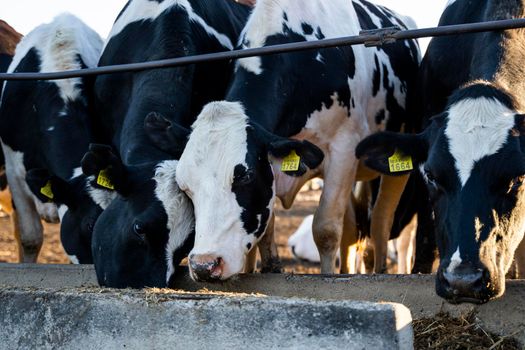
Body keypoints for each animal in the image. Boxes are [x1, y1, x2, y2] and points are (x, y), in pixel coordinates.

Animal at [151, 0, 418, 280]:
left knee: (380, 222)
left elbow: (325, 230)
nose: (204, 265)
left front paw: (328, 277)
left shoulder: (342, 151)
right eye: (184, 185)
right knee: (352, 230)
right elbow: (264, 233)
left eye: (244, 175)